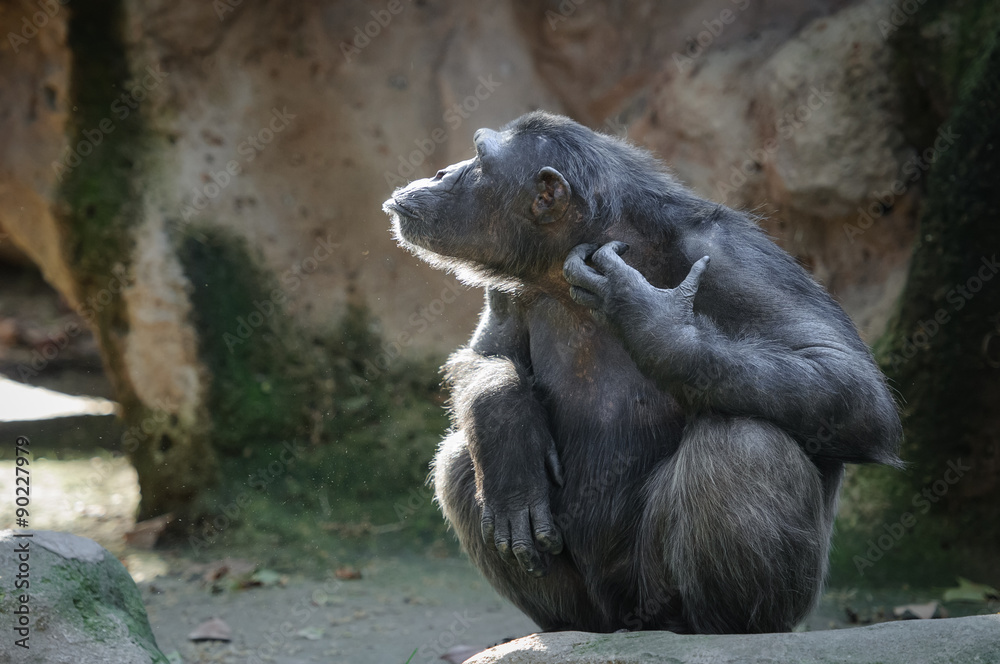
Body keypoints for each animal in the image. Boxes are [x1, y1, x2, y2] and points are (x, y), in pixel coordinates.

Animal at [378, 111, 904, 636]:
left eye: (479, 160)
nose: (443, 171)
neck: (593, 243)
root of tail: (626, 620)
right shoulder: (507, 288)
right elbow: (483, 356)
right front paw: (506, 424)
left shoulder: (736, 257)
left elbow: (846, 377)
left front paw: (648, 318)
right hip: (594, 602)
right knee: (457, 459)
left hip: (670, 589)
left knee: (744, 444)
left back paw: (726, 627)